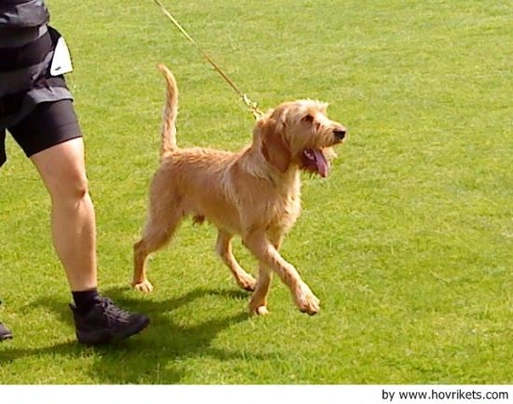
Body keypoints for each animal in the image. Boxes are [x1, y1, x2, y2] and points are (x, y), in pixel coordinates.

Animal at [133, 64, 348, 316]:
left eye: (323, 112)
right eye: (307, 118)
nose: (341, 131)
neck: (274, 177)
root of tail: (171, 153)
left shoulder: (273, 234)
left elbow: (269, 271)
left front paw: (258, 303)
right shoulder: (254, 236)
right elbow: (286, 267)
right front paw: (305, 299)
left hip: (224, 223)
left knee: (222, 249)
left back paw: (245, 279)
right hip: (164, 223)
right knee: (139, 246)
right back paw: (139, 282)